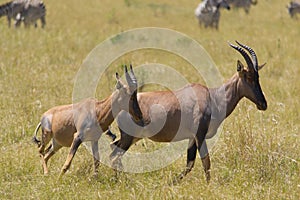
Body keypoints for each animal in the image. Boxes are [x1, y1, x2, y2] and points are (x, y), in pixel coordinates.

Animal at [109, 41, 268, 183]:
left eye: (258, 77)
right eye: (248, 77)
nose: (263, 104)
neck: (212, 97)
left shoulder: (192, 137)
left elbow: (190, 164)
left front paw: (171, 183)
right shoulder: (200, 134)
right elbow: (206, 161)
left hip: (132, 137)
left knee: (114, 150)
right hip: (129, 137)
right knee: (114, 155)